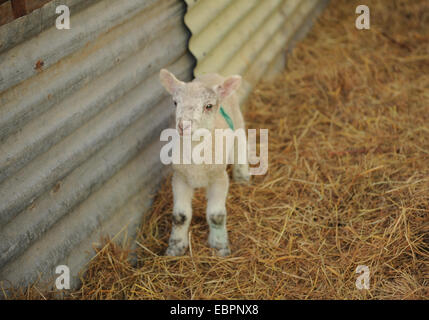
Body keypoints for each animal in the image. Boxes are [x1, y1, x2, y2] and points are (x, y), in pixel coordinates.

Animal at [159, 69, 249, 256]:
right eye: (175, 102)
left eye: (208, 106)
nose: (183, 126)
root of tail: (213, 74)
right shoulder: (180, 178)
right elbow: (180, 216)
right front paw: (175, 248)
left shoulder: (219, 178)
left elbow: (216, 216)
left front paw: (220, 246)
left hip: (237, 121)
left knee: (241, 145)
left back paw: (242, 175)